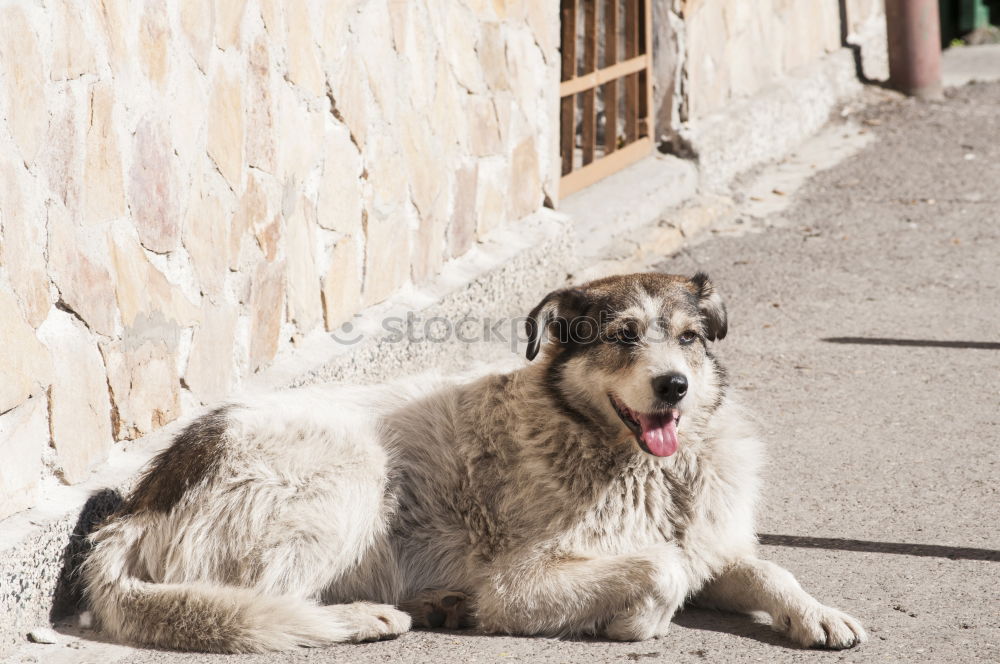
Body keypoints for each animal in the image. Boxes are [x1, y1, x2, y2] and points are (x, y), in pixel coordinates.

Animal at [84, 272, 868, 652]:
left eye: (688, 337)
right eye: (622, 336)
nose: (674, 387)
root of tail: (137, 503)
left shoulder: (713, 547)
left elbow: (768, 570)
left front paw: (818, 614)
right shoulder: (521, 584)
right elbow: (660, 572)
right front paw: (627, 625)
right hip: (350, 474)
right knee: (265, 607)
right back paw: (372, 617)